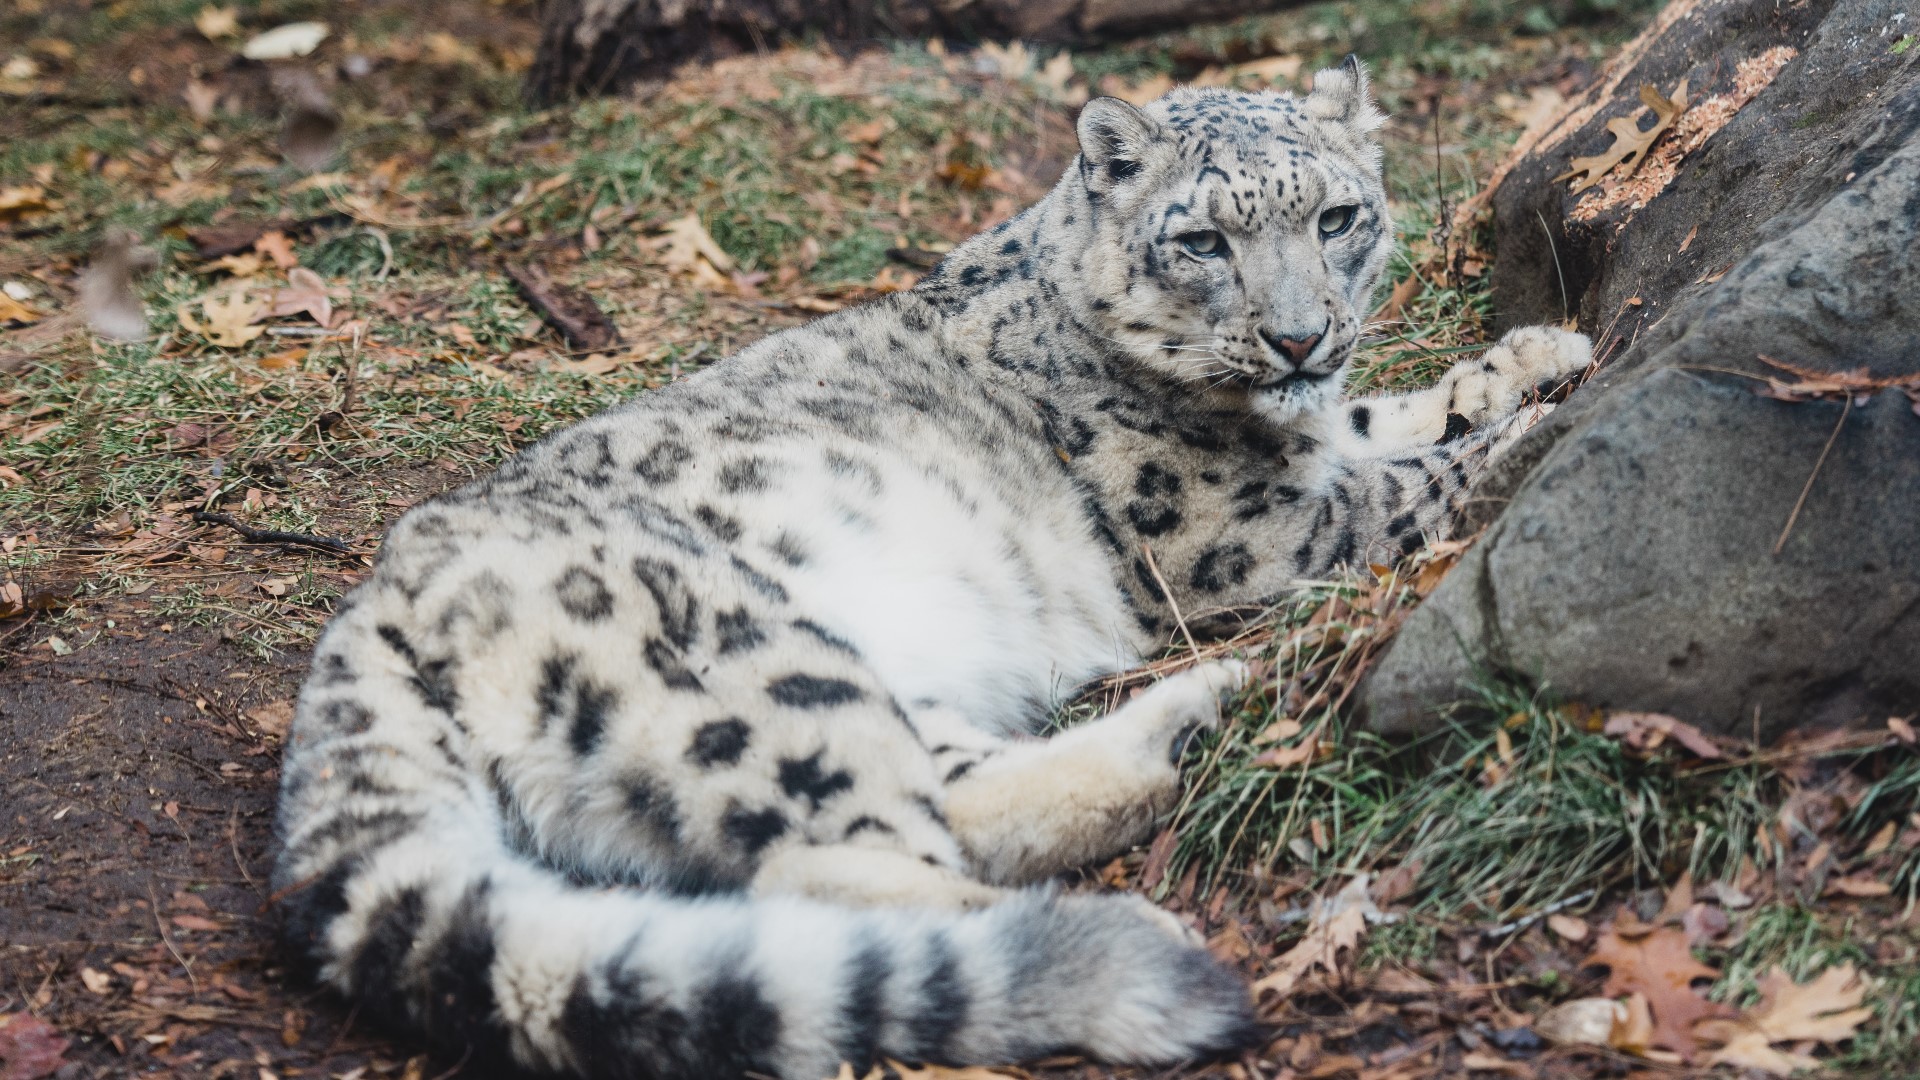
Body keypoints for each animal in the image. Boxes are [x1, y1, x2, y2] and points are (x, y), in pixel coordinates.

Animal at [272, 59, 1590, 1080]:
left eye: (1335, 217)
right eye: (1204, 239)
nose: (1299, 338)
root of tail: (369, 608)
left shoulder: (1311, 443)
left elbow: (1379, 421)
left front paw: (1540, 355)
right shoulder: (1237, 529)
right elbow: (1395, 484)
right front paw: (1535, 434)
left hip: (852, 693)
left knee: (951, 804)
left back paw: (1195, 721)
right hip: (745, 664)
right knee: (834, 868)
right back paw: (1126, 917)